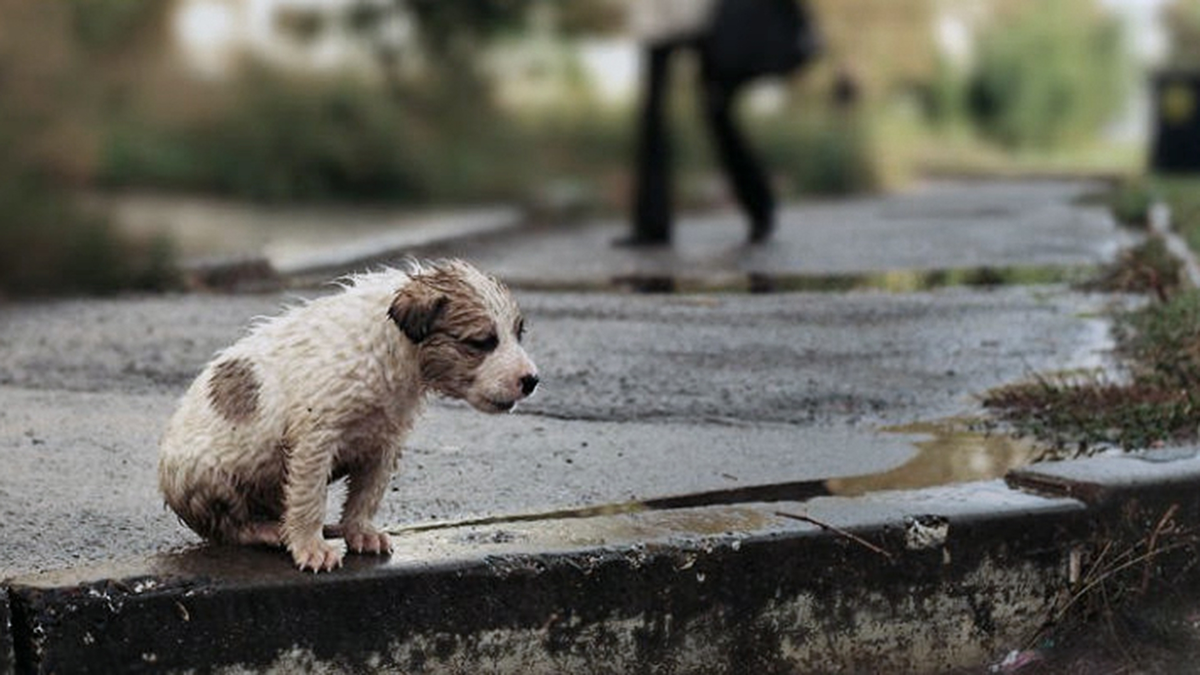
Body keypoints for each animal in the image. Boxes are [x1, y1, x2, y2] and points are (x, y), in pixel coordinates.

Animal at [158, 260, 540, 569]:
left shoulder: (384, 442)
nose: (532, 381)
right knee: (228, 526)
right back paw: (268, 530)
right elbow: (309, 497)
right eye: (481, 342)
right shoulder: (315, 438)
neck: (391, 349)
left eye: (518, 334)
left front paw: (359, 531)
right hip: (210, 475)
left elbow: (366, 495)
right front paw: (310, 546)